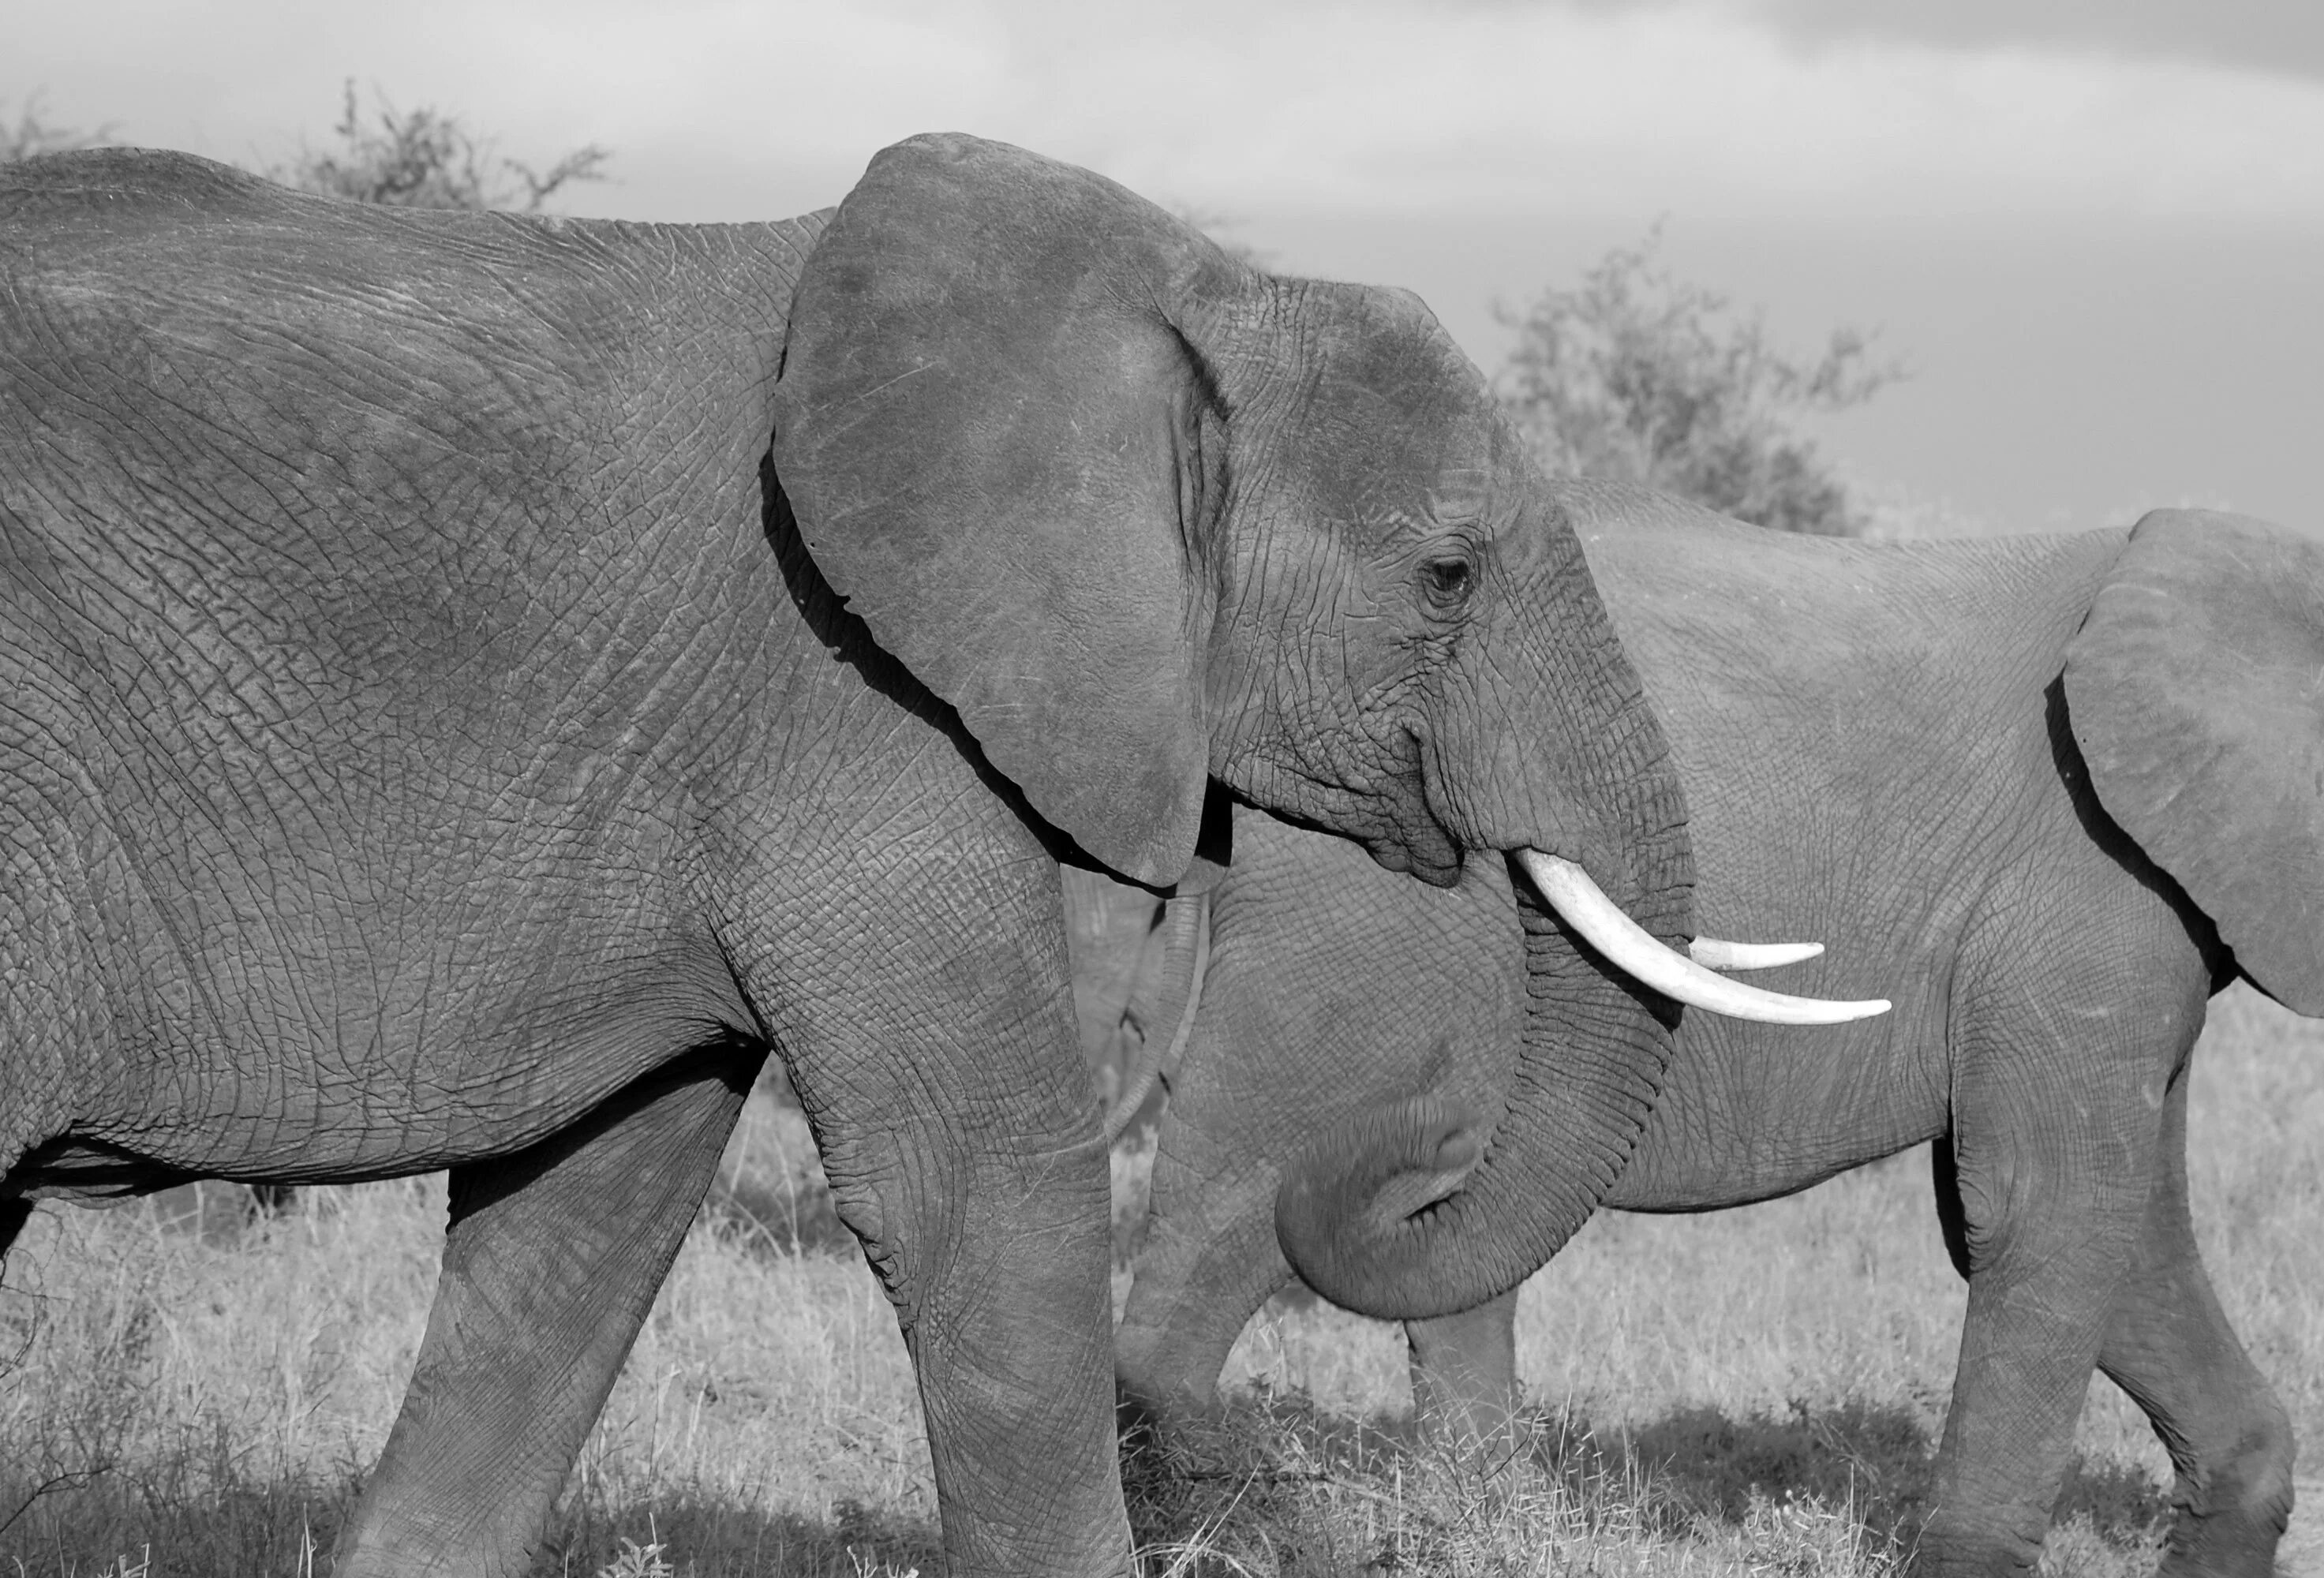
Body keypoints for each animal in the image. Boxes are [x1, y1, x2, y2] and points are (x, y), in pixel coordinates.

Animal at [0, 141, 1868, 1571]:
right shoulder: (845, 698)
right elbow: (980, 1189)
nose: (1401, 1153)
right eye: (1447, 576)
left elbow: (588, 1207)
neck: (1185, 298)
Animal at [1115, 490, 2315, 1578]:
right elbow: (2040, 1208)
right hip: (1354, 925)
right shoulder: (2080, 888)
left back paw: (1480, 1532)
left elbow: (2117, 1227)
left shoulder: (2142, 902)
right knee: (1231, 1203)